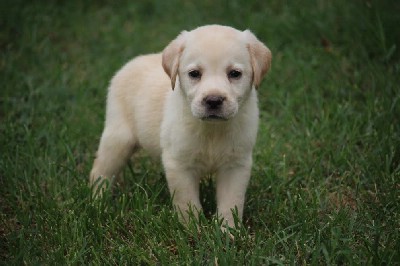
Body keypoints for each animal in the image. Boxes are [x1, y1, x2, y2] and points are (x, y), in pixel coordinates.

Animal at [90, 25, 272, 227]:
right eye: (194, 73)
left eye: (235, 74)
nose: (213, 100)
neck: (212, 130)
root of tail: (131, 63)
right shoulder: (179, 165)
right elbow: (187, 203)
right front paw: (192, 228)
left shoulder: (236, 165)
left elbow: (231, 203)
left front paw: (228, 230)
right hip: (118, 140)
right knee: (100, 171)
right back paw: (99, 204)